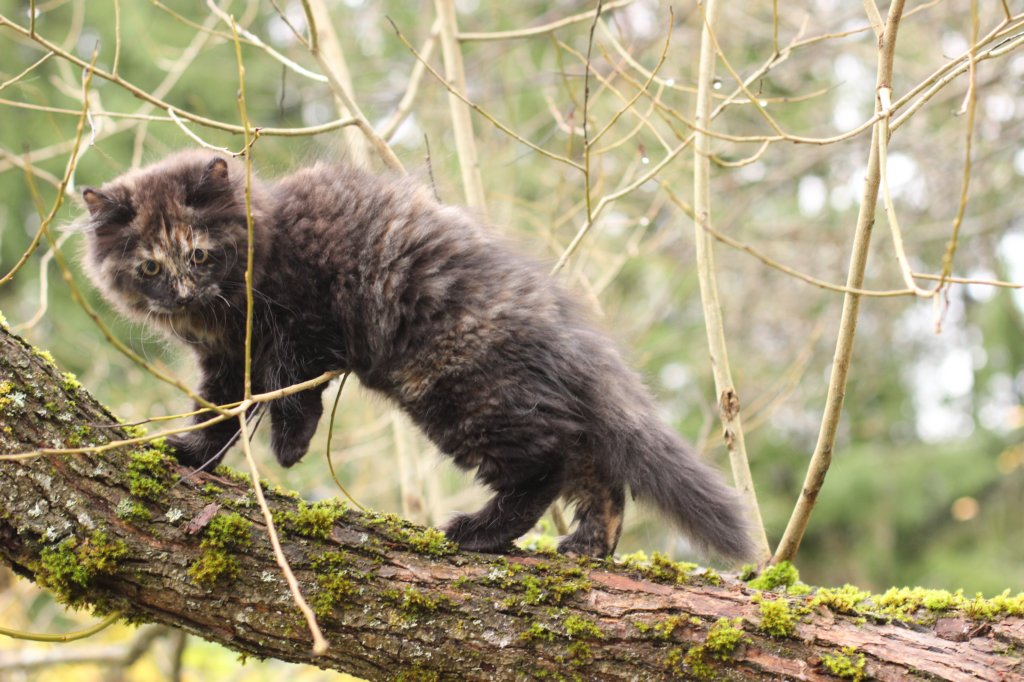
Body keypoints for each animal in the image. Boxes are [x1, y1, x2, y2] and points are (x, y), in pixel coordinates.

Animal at [78, 149, 753, 560]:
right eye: (149, 267)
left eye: (198, 254)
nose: (181, 293)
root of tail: (565, 326)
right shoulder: (226, 363)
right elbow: (217, 413)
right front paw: (195, 455)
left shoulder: (303, 326)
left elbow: (295, 392)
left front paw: (288, 448)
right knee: (596, 473)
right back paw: (589, 545)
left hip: (461, 395)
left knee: (549, 463)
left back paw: (479, 532)